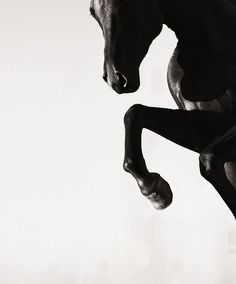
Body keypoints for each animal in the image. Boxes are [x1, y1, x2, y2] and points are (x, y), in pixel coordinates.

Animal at [91, 0, 236, 220]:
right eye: (92, 12)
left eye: (126, 5)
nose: (114, 79)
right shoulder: (206, 129)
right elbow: (134, 113)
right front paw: (153, 190)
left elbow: (209, 159)